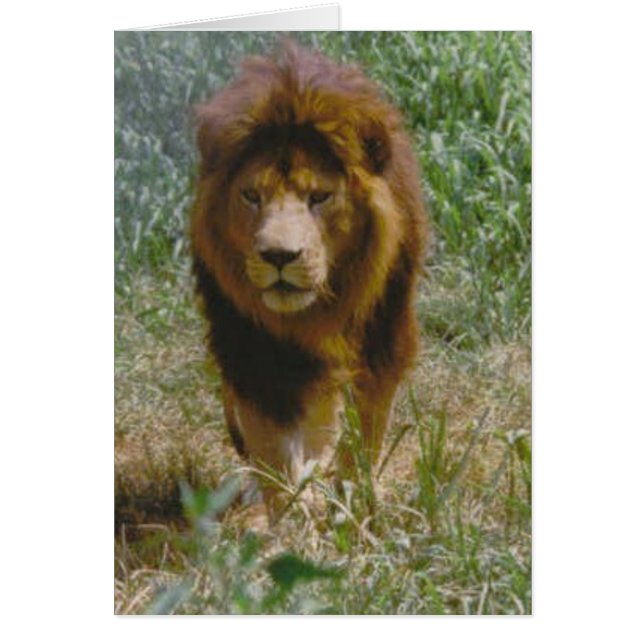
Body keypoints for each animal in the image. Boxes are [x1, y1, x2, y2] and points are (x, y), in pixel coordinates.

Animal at [191, 43, 428, 519]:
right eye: (252, 195)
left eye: (319, 197)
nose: (279, 256)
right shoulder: (253, 350)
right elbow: (272, 446)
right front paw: (290, 518)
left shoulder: (382, 336)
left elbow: (366, 431)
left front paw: (353, 502)